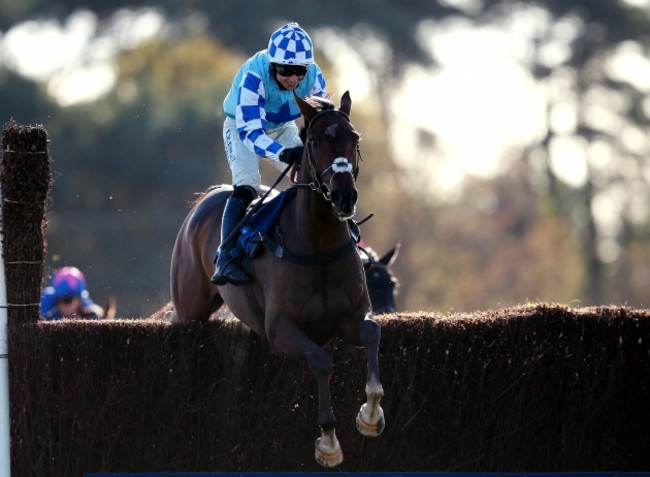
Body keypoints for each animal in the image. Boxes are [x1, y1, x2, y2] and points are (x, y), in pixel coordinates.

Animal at [170, 91, 384, 467]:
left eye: (354, 138)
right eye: (314, 142)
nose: (344, 196)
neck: (317, 243)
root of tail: (207, 199)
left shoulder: (351, 316)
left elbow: (372, 332)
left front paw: (370, 415)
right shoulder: (280, 329)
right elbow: (320, 361)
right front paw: (329, 443)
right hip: (189, 306)